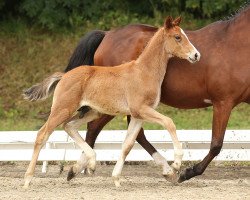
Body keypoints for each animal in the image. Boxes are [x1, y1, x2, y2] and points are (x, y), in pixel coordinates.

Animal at [23, 16, 199, 188]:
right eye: (177, 37)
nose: (196, 55)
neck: (144, 71)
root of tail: (64, 75)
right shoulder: (141, 109)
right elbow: (169, 122)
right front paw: (176, 164)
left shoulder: (137, 116)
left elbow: (127, 145)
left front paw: (116, 179)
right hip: (62, 109)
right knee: (42, 134)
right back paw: (28, 180)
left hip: (93, 112)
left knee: (69, 126)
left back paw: (90, 163)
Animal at [64, 5, 250, 183]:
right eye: (177, 37)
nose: (196, 55)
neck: (236, 44)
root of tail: (107, 34)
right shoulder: (223, 102)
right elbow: (216, 144)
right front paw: (187, 173)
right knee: (95, 128)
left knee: (132, 134)